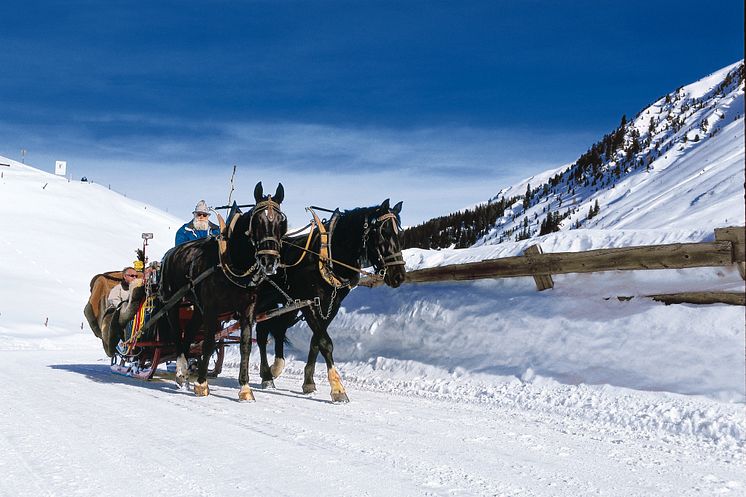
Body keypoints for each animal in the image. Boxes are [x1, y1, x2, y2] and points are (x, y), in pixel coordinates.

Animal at [158, 182, 286, 400]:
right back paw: (181, 372)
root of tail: (170, 254)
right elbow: (209, 343)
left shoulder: (248, 309)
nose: (269, 261)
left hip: (197, 308)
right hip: (173, 302)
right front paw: (201, 384)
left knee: (189, 333)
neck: (233, 261)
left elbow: (245, 345)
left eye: (281, 222)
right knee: (177, 334)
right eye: (257, 221)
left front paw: (245, 388)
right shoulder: (212, 308)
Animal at [256, 199, 406, 404]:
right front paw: (337, 388)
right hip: (264, 300)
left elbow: (316, 341)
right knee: (262, 332)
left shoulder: (331, 305)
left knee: (278, 330)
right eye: (383, 233)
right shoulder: (310, 303)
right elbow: (325, 343)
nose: (399, 276)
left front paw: (308, 382)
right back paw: (266, 375)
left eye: (400, 233)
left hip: (289, 303)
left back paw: (276, 367)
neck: (328, 256)